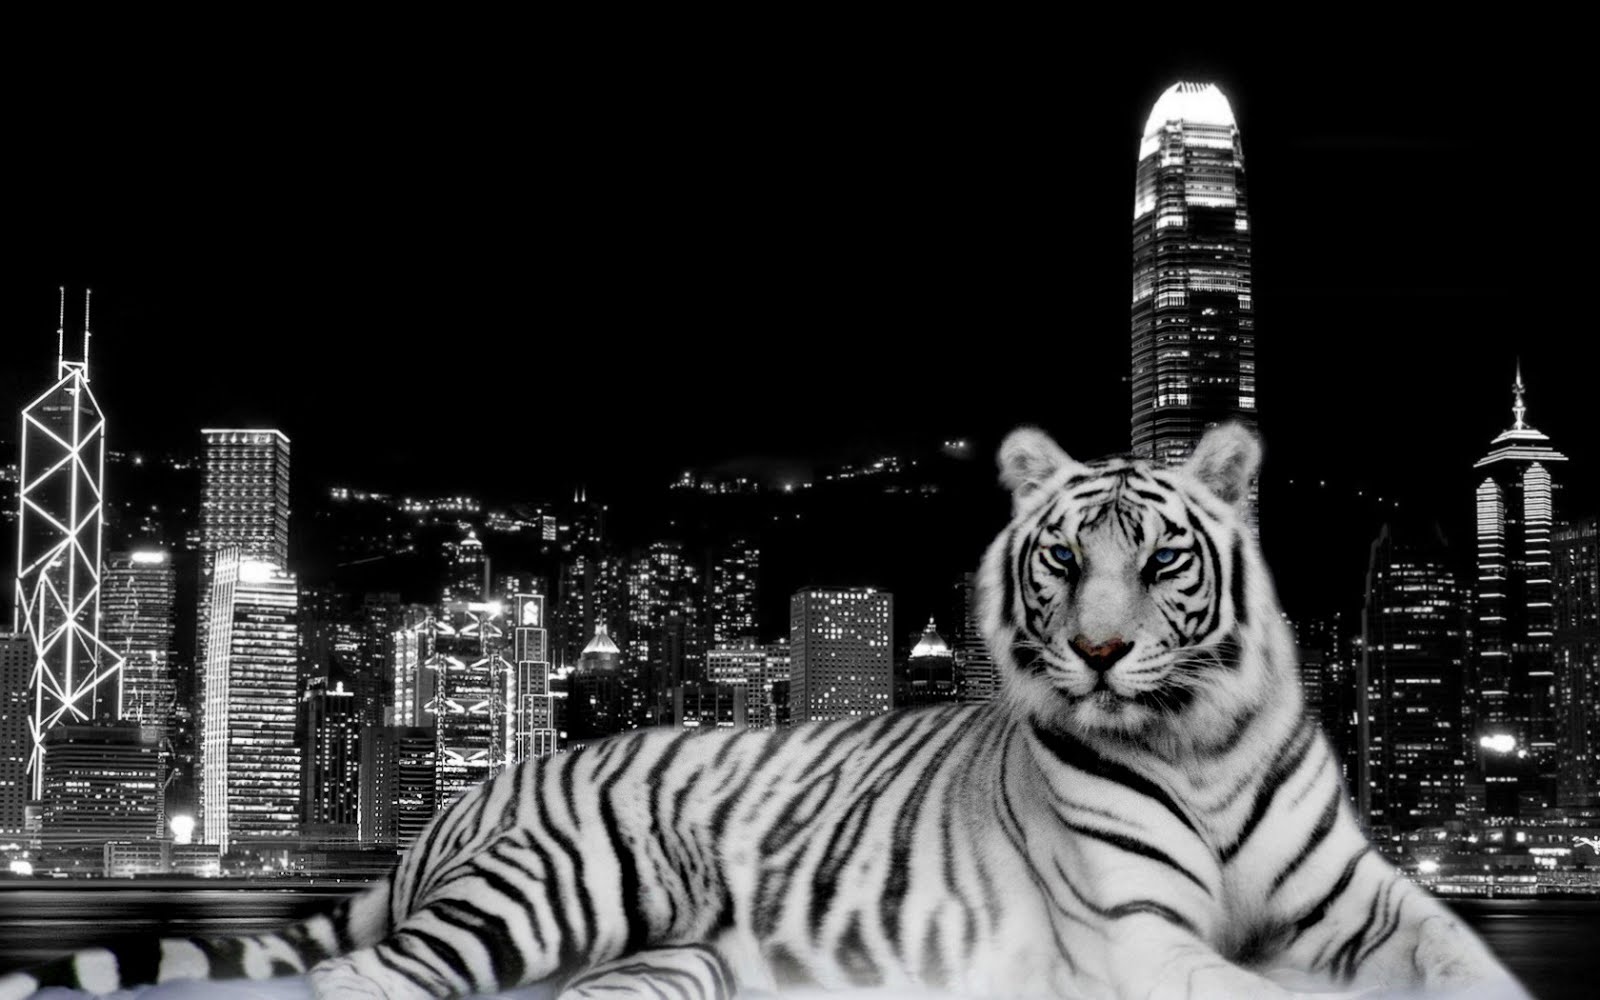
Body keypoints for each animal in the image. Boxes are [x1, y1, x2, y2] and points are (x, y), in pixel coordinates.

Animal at [0, 423, 1529, 1000]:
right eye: (1057, 559)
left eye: (1158, 560)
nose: (1097, 655)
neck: (1199, 747)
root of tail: (476, 790)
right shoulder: (1139, 935)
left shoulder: (1377, 904)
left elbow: (1468, 967)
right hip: (559, 888)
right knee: (362, 983)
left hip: (684, 959)